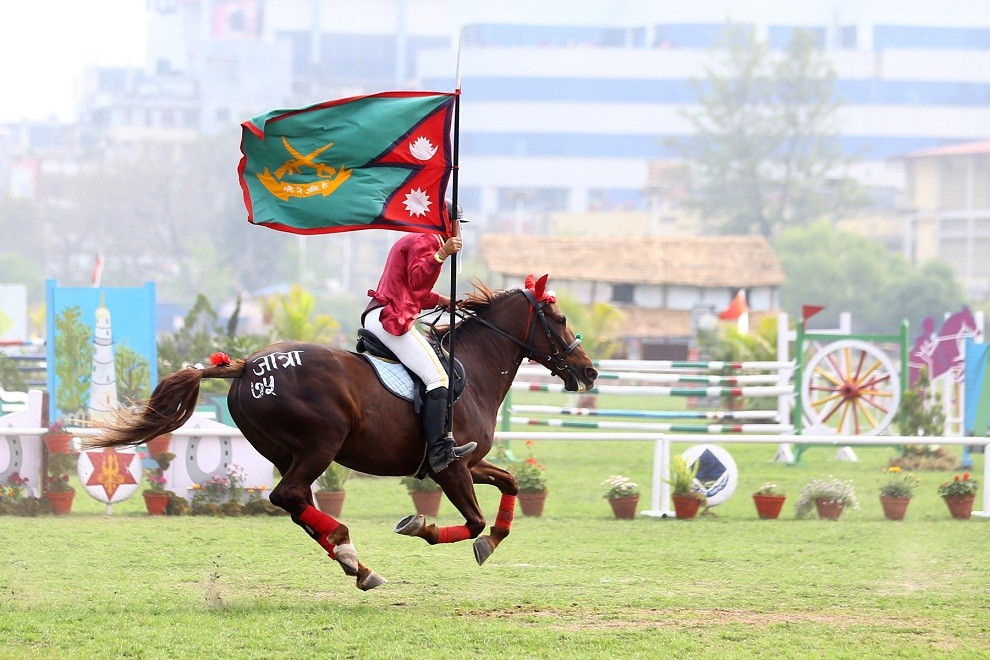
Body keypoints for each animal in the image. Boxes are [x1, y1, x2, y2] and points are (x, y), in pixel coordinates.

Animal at [85, 274, 596, 588]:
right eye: (560, 319)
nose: (589, 372)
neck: (474, 368)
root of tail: (247, 366)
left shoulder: (469, 461)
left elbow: (508, 483)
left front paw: (494, 537)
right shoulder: (450, 468)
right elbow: (471, 521)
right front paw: (422, 527)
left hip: (289, 453)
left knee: (296, 504)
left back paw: (356, 563)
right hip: (320, 445)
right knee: (289, 496)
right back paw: (352, 553)